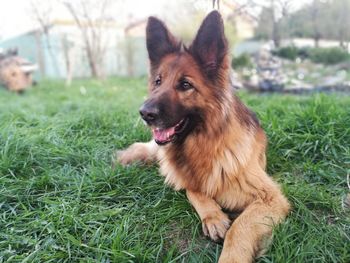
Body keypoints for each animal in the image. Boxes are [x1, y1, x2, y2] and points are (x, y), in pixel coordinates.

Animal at [117, 10, 290, 263]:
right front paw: (213, 216)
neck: (202, 144)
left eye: (185, 84)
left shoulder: (270, 198)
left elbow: (239, 227)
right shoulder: (184, 177)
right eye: (158, 81)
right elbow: (194, 190)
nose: (144, 113)